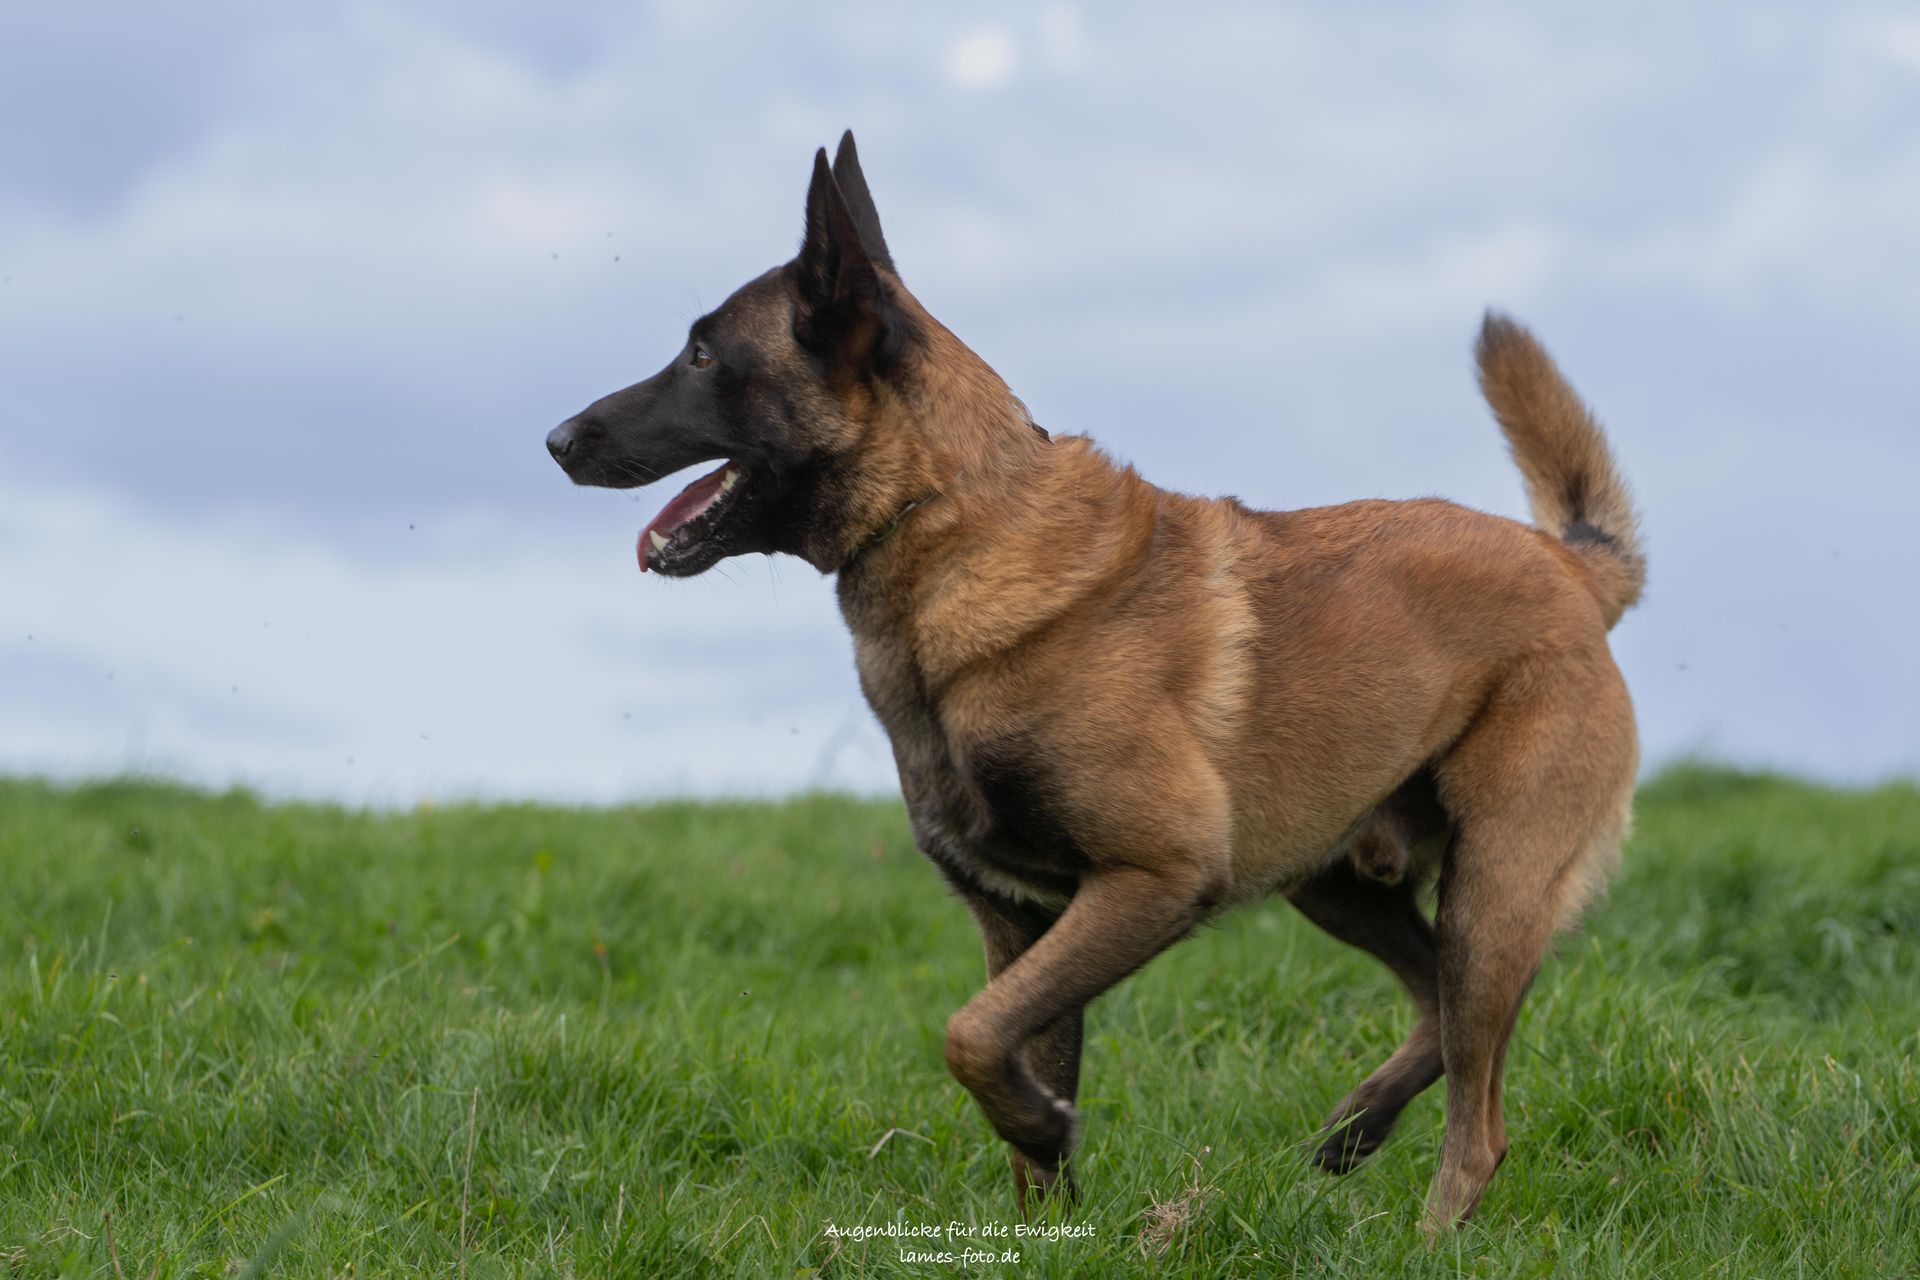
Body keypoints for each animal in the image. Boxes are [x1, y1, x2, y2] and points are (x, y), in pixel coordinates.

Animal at [545, 132, 1644, 1229]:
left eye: (701, 356)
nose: (556, 440)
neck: (950, 514)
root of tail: (1570, 566)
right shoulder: (1021, 916)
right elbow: (1009, 1062)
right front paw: (1048, 1216)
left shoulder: (1151, 878)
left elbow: (969, 1035)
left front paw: (1043, 1128)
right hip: (1334, 882)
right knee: (1432, 1004)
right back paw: (1357, 1125)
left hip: (1490, 894)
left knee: (1479, 1110)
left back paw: (1429, 1231)